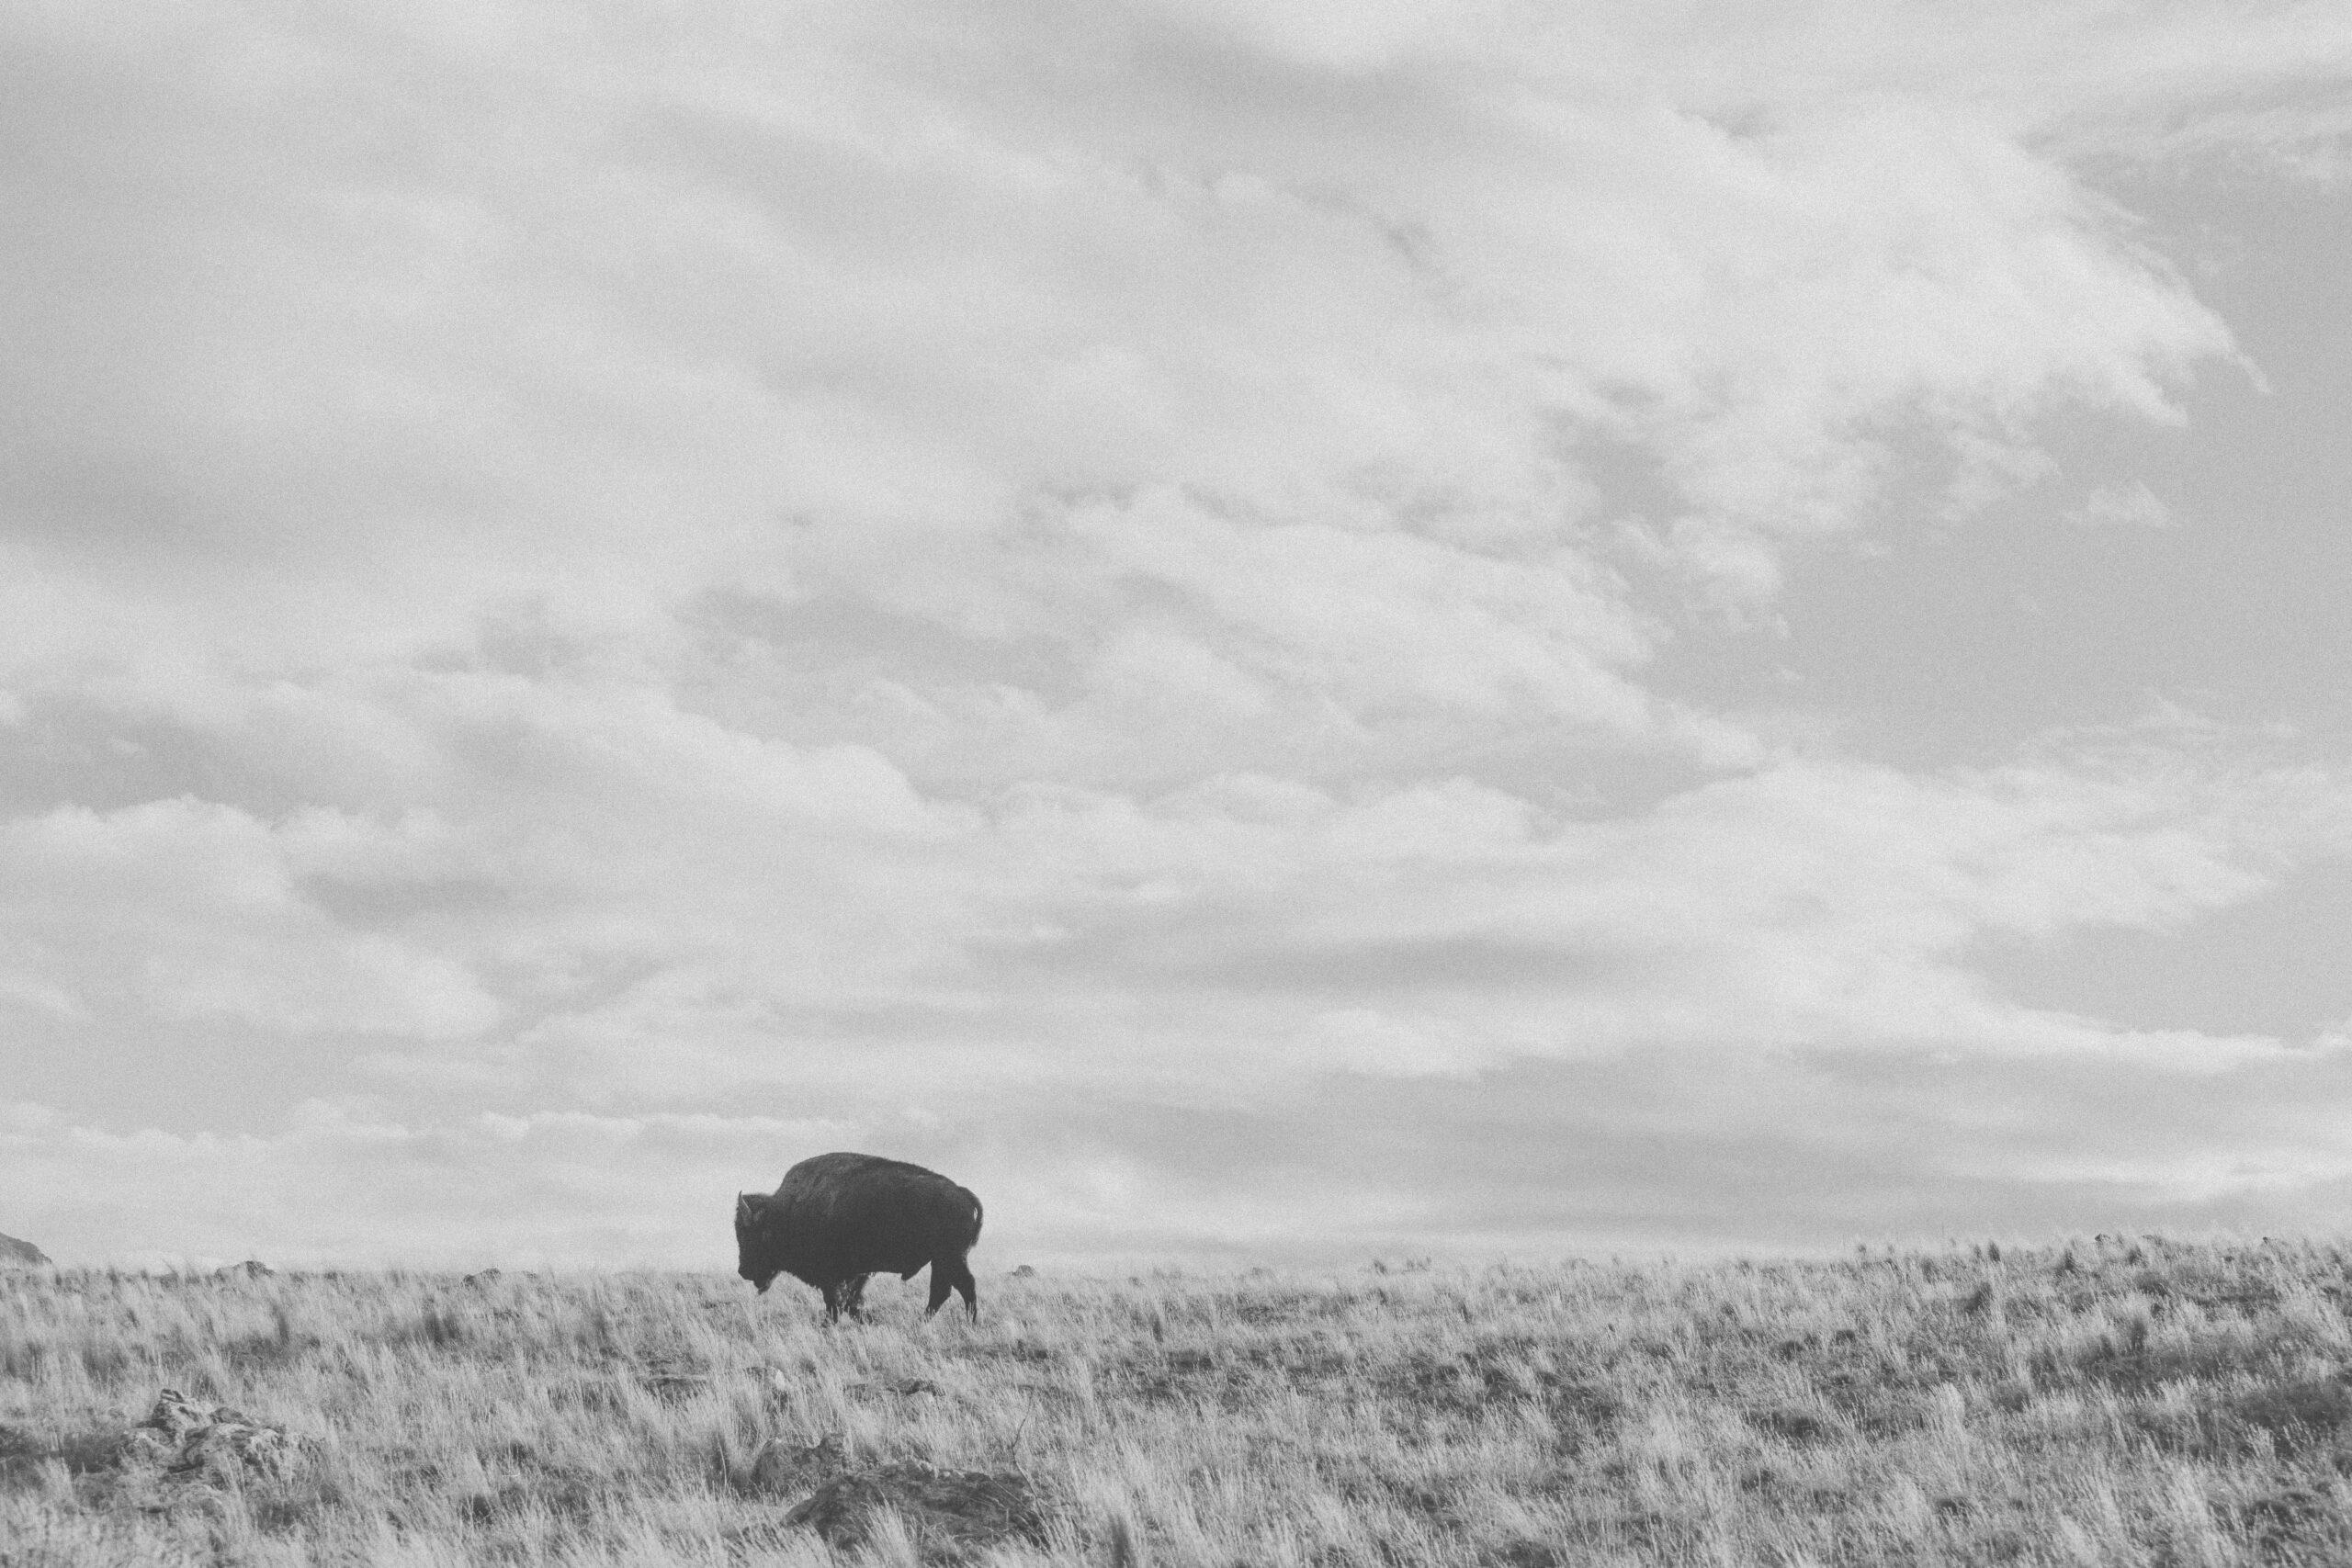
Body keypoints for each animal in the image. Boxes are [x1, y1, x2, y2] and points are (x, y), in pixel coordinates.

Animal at [735, 1152, 984, 1322]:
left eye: (750, 1235)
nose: (743, 1271)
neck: (785, 1212)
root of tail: (962, 1192)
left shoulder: (833, 1276)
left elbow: (837, 1301)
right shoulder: (857, 1273)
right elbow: (850, 1300)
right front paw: (867, 1319)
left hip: (950, 1258)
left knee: (962, 1286)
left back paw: (968, 1323)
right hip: (941, 1261)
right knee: (944, 1291)